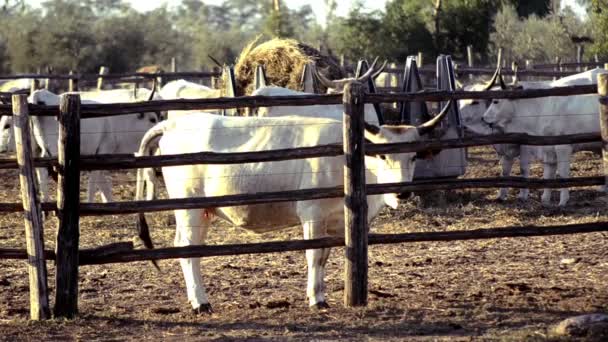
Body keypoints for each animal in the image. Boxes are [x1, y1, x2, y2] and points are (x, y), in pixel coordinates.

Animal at [135, 103, 448, 314]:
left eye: (413, 156)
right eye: (382, 155)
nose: (402, 192)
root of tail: (173, 125)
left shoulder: (333, 223)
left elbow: (324, 258)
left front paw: (319, 295)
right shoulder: (312, 214)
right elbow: (313, 257)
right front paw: (316, 299)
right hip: (190, 210)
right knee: (188, 251)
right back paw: (201, 302)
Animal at [480, 68, 608, 204]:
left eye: (496, 101)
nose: (483, 118)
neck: (542, 107)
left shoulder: (563, 147)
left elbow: (562, 173)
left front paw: (563, 201)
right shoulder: (548, 147)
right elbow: (548, 174)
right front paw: (545, 200)